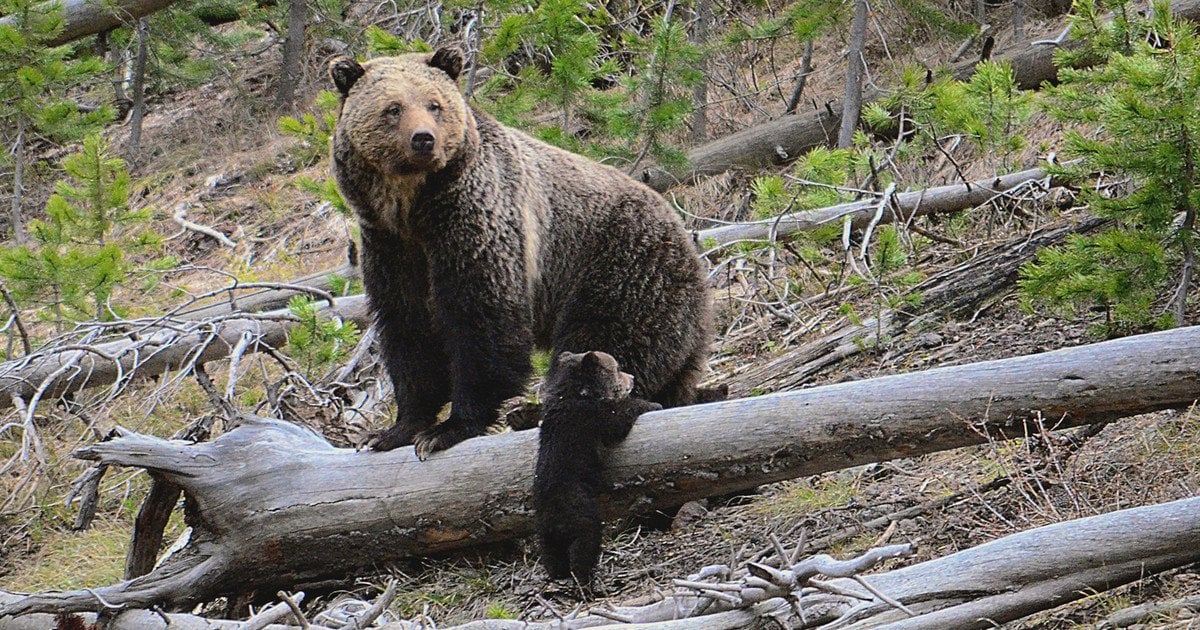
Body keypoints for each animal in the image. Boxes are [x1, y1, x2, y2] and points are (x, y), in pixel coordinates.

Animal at [328, 48, 712, 460]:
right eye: (393, 108)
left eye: (434, 104)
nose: (424, 139)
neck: (411, 208)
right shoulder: (390, 246)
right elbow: (408, 329)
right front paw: (394, 430)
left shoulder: (476, 222)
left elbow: (482, 319)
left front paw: (449, 428)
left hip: (622, 265)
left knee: (605, 341)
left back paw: (537, 410)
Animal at [532, 350, 661, 583]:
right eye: (617, 368)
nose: (632, 377)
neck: (577, 394)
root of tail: (554, 519)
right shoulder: (593, 418)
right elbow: (619, 419)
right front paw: (652, 404)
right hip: (581, 516)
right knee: (585, 546)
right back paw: (586, 579)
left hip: (544, 531)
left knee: (551, 555)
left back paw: (557, 574)